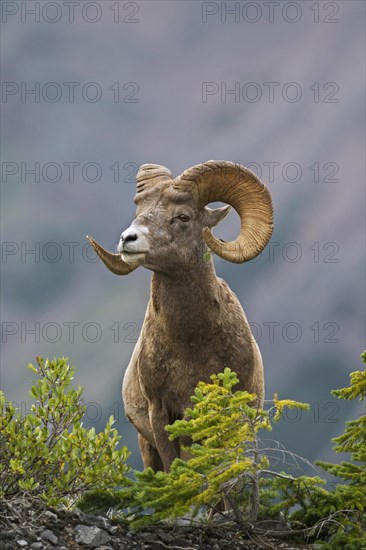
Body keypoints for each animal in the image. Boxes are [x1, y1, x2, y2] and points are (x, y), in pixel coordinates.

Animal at [87, 161, 274, 474]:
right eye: (139, 214)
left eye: (183, 216)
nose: (128, 239)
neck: (191, 343)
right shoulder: (160, 413)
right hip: (147, 449)